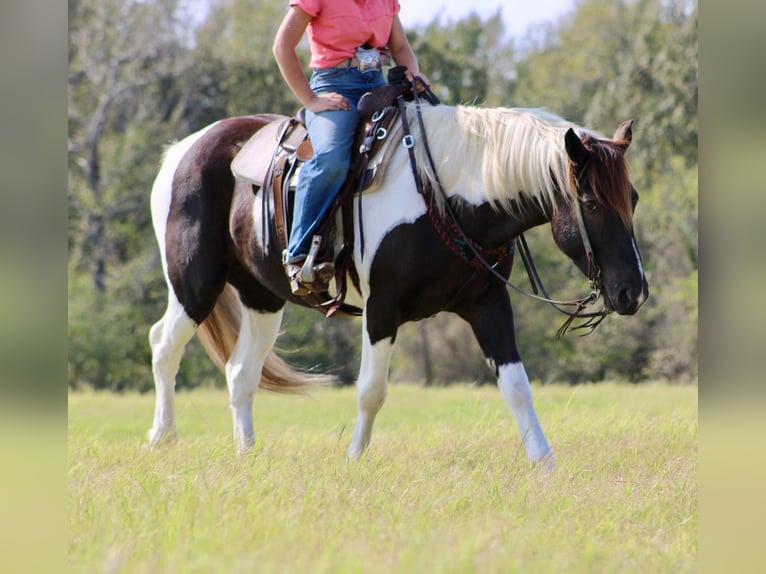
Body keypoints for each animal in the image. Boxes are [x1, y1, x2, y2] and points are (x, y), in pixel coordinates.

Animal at [147, 103, 648, 469]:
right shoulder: (382, 309)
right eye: (591, 202)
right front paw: (354, 459)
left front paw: (545, 465)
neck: (444, 197)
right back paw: (162, 439)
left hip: (263, 298)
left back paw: (247, 452)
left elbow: (516, 386)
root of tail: (184, 150)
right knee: (164, 346)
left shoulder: (487, 304)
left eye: (634, 197)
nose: (633, 292)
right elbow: (371, 390)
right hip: (194, 283)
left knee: (241, 373)